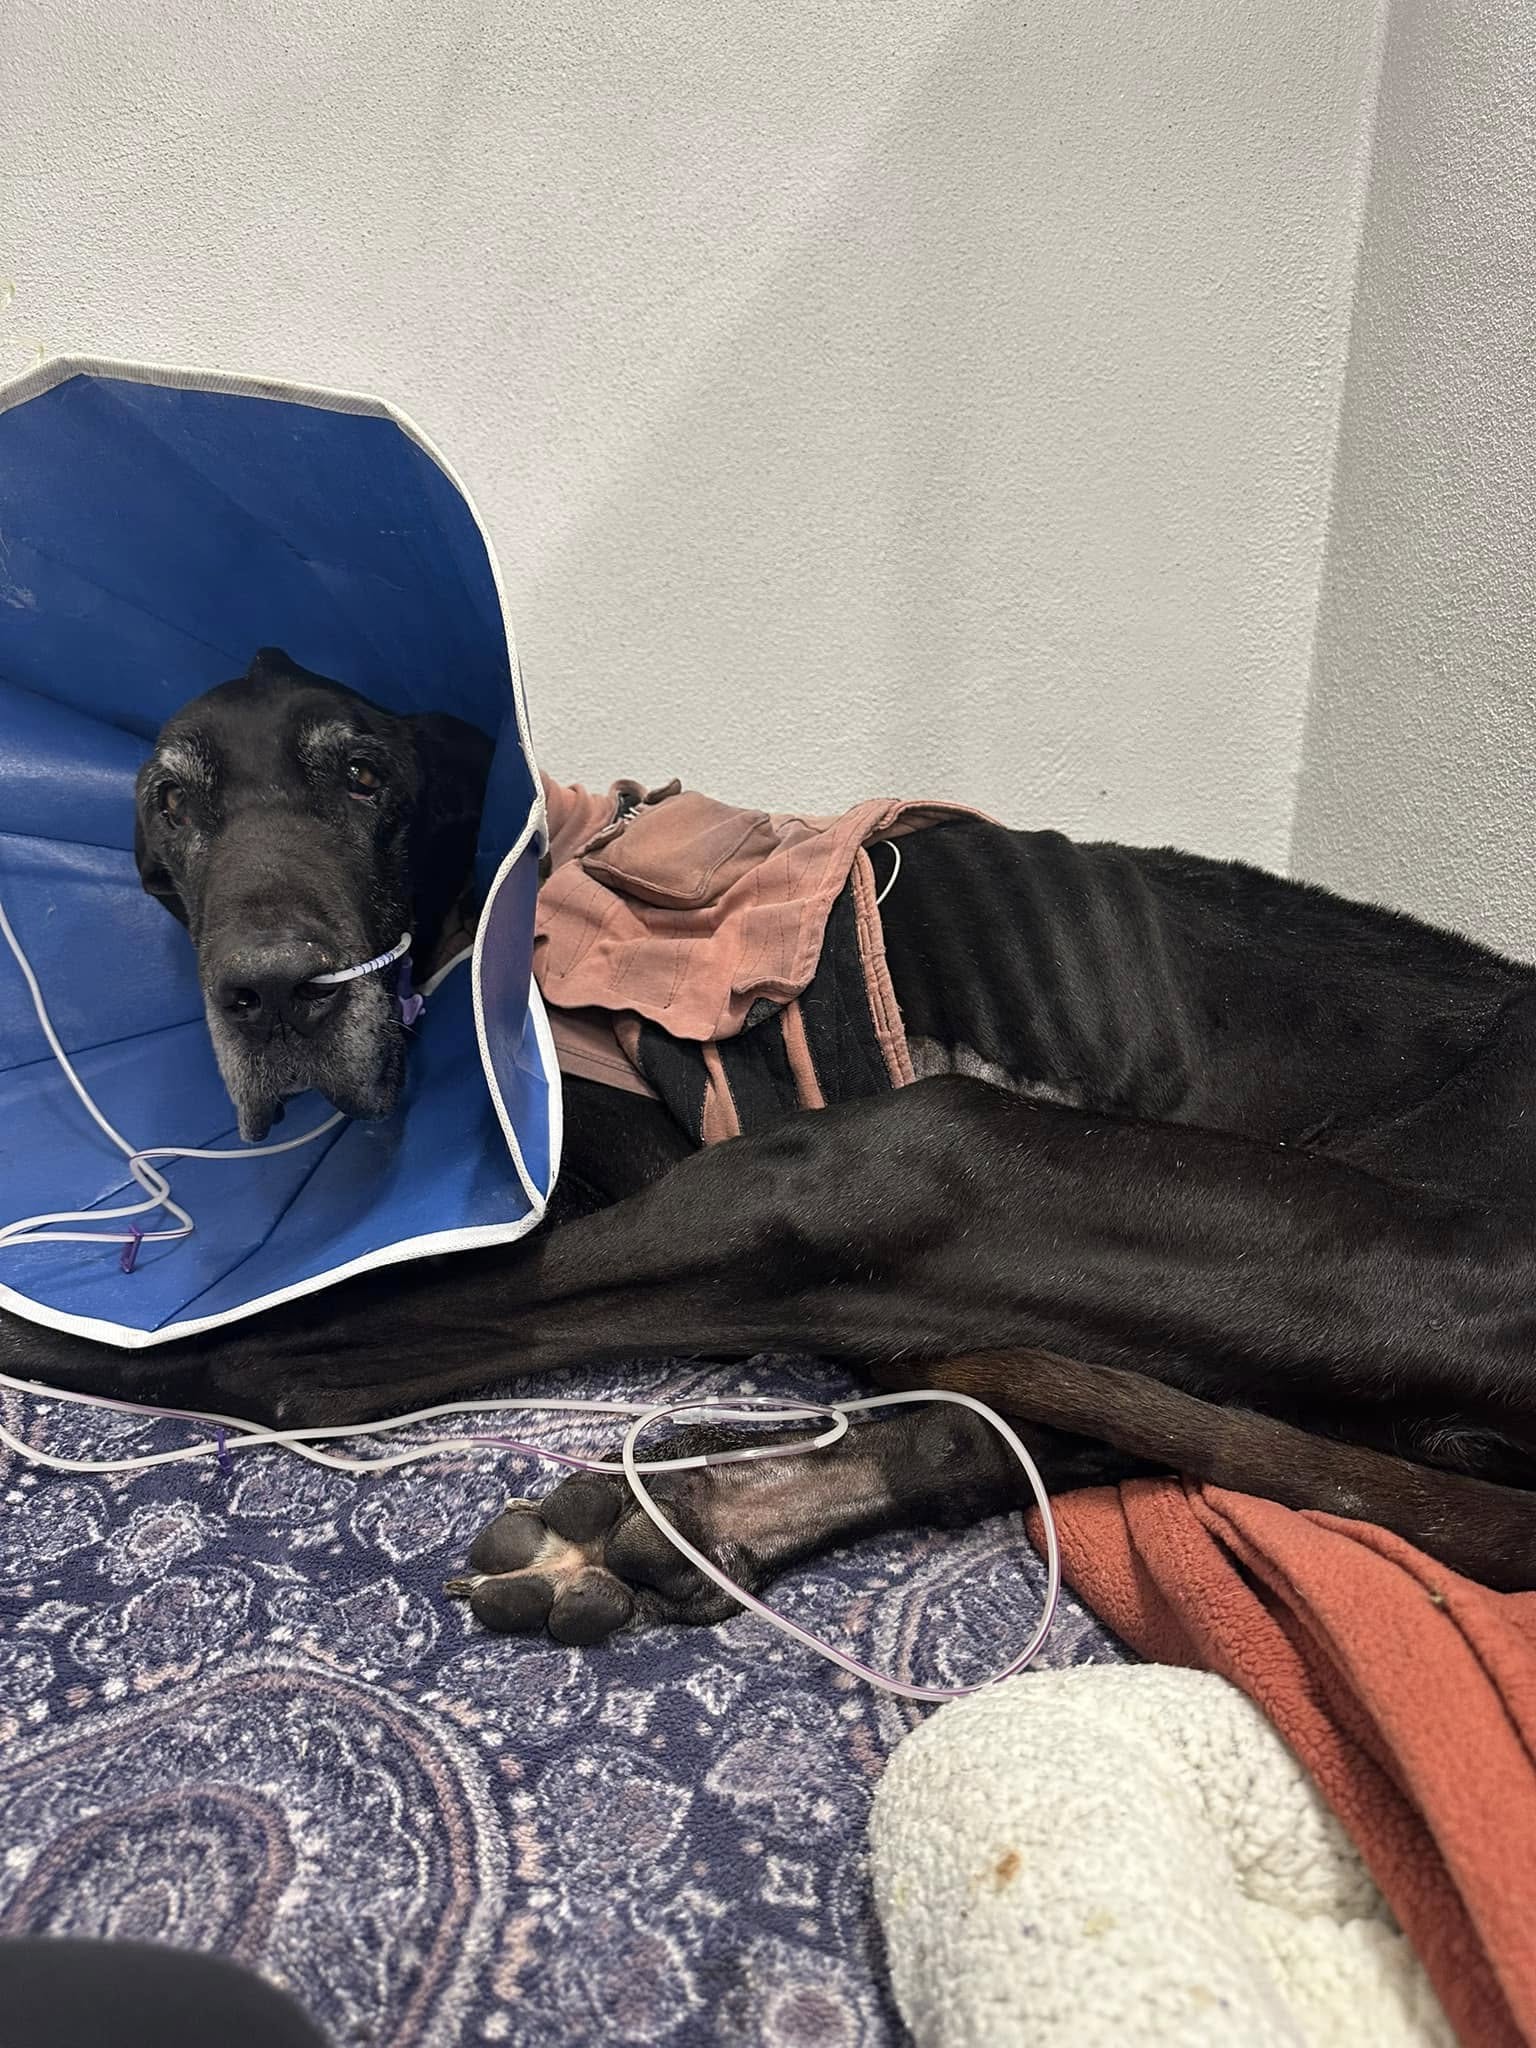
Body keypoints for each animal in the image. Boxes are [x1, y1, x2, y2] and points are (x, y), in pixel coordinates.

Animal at [3, 655, 1536, 1646]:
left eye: (363, 776)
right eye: (171, 800)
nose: (273, 991)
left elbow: (313, 1328)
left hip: (898, 1159)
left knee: (289, 1361)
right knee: (1016, 1428)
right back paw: (689, 1513)